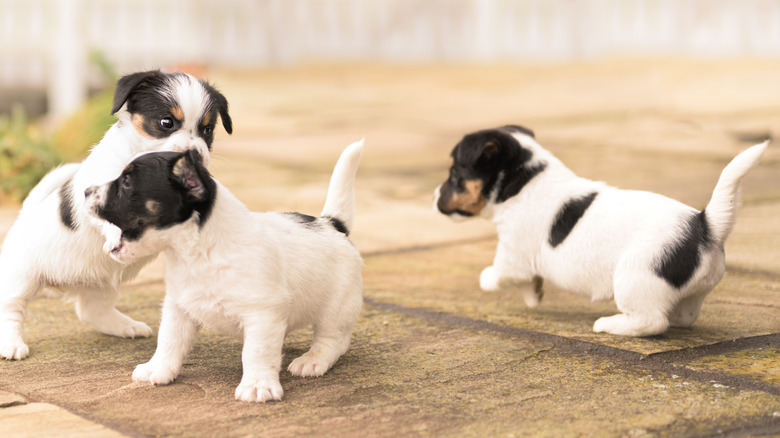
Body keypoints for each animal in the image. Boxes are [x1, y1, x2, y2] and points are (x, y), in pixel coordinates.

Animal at [0, 69, 232, 360]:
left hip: (100, 287)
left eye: (207, 130)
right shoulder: (99, 190)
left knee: (91, 311)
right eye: (166, 122)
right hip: (20, 278)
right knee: (11, 308)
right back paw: (11, 344)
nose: (195, 156)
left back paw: (125, 326)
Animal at [85, 141, 366, 404]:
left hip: (336, 310)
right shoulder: (179, 307)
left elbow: (256, 352)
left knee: (333, 340)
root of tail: (332, 224)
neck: (197, 252)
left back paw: (312, 360)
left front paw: (257, 385)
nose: (85, 190)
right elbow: (169, 340)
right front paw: (159, 369)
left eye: (127, 182)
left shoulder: (262, 314)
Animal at [432, 125, 768, 338]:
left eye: (454, 173)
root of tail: (705, 224)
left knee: (651, 322)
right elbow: (529, 283)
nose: (435, 195)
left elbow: (494, 275)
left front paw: (490, 280)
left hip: (634, 278)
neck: (523, 182)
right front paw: (534, 296)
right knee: (685, 315)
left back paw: (610, 324)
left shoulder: (512, 256)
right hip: (692, 290)